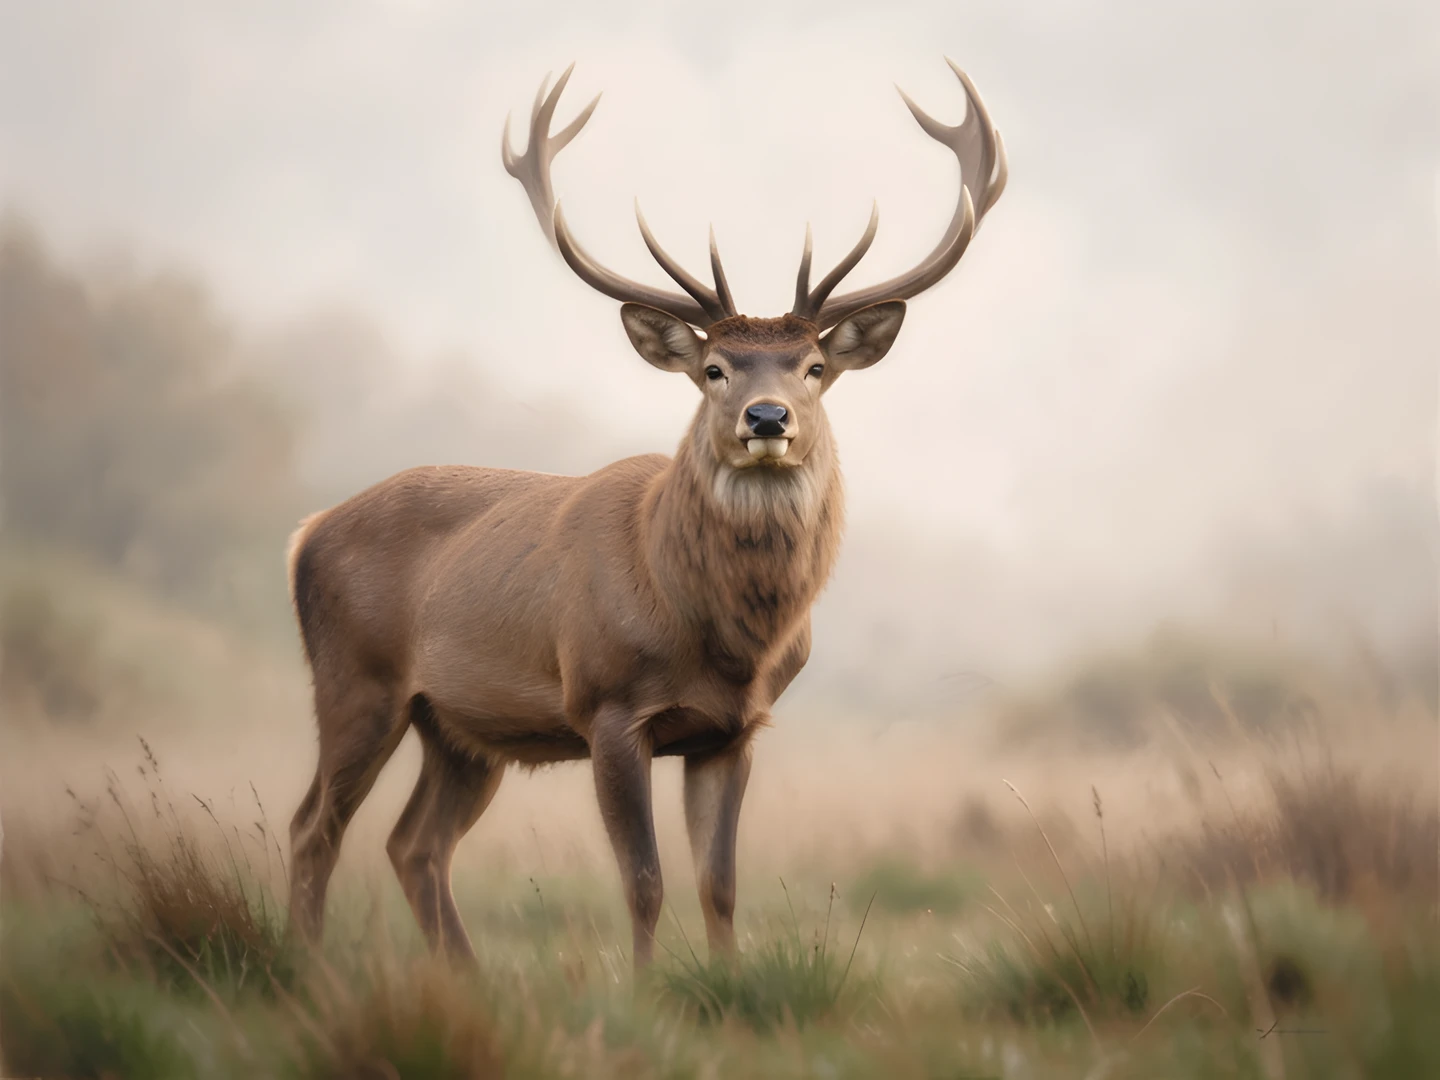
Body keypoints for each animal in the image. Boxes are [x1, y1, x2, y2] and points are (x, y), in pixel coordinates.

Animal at [284, 56, 1006, 972]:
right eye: (713, 368)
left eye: (812, 367)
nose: (766, 418)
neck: (718, 633)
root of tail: (306, 533)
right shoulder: (607, 706)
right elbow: (645, 880)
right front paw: (642, 987)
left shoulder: (733, 730)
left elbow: (718, 883)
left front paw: (725, 984)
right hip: (357, 680)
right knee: (314, 827)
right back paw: (306, 970)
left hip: (459, 727)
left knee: (413, 844)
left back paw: (466, 981)